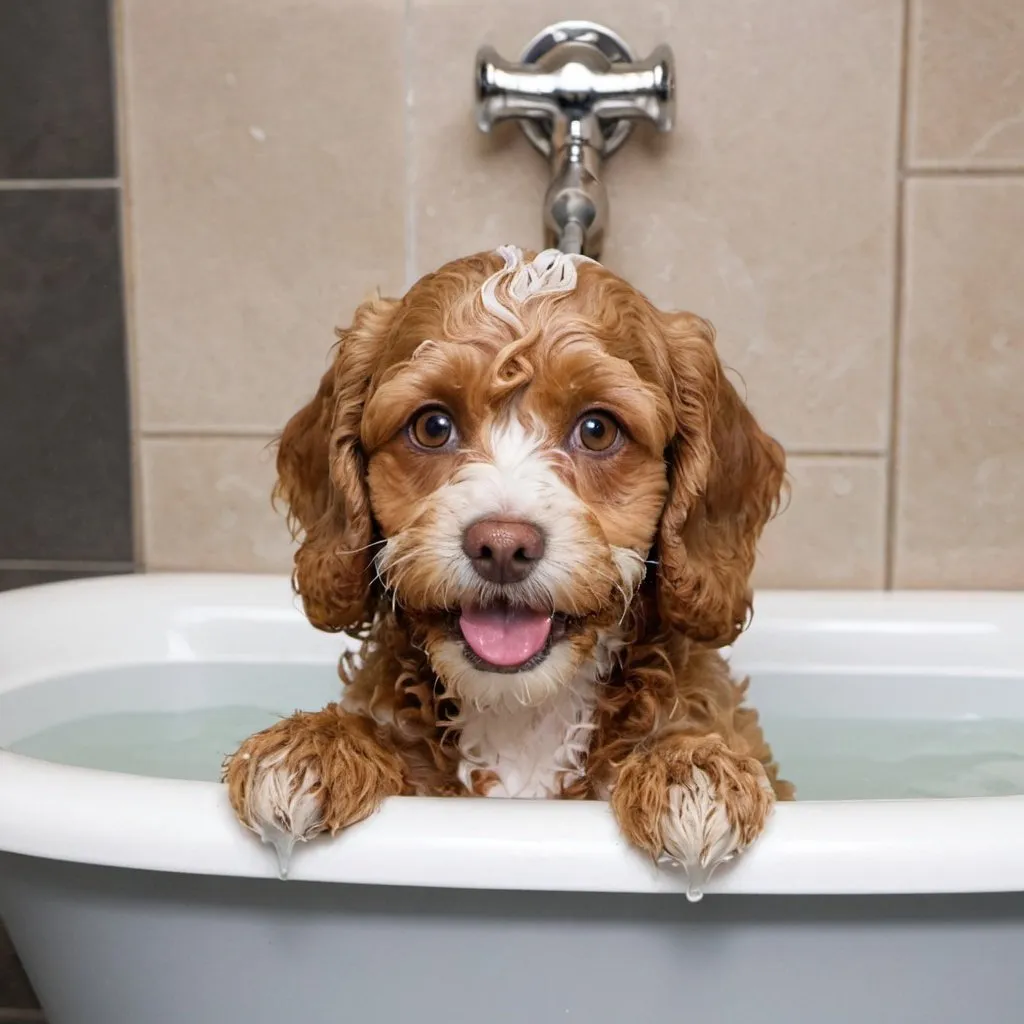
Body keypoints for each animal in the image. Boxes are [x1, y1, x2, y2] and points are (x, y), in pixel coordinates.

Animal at [226, 243, 790, 884]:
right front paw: (311, 743)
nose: (500, 545)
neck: (523, 710)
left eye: (597, 429)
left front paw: (689, 768)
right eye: (432, 426)